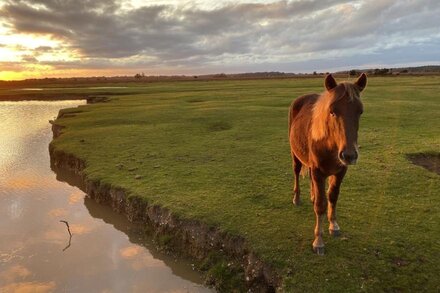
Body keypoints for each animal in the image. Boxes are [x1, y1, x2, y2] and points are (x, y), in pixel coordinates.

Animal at [288, 73, 368, 253]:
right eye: (332, 111)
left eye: (360, 111)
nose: (349, 155)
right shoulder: (318, 172)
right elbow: (321, 205)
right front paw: (318, 240)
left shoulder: (340, 172)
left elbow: (332, 196)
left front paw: (334, 225)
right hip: (296, 155)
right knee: (296, 172)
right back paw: (297, 198)